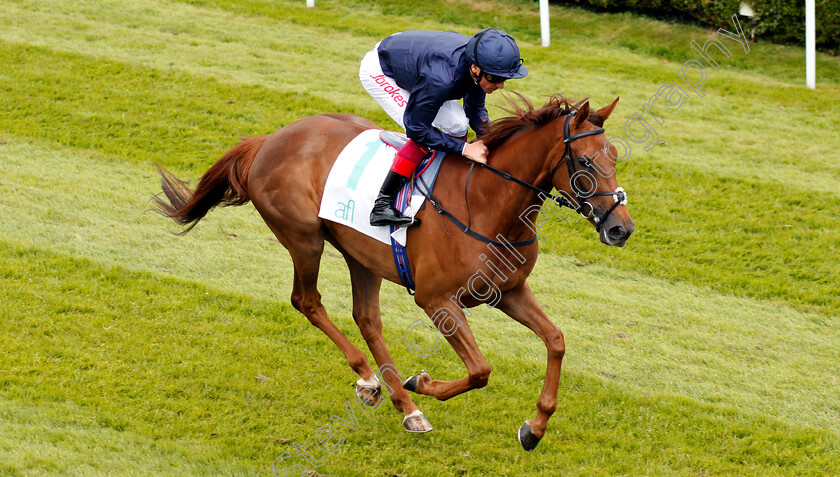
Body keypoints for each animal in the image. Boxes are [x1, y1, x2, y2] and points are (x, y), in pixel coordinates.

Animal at [154, 94, 632, 450]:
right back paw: (381, 386)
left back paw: (399, 402)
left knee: (367, 319)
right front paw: (422, 381)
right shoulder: (436, 300)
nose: (621, 228)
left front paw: (535, 427)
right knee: (307, 301)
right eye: (585, 163)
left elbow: (556, 340)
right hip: (304, 239)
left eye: (614, 157)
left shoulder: (509, 291)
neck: (487, 203)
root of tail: (270, 139)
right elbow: (480, 370)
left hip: (360, 255)